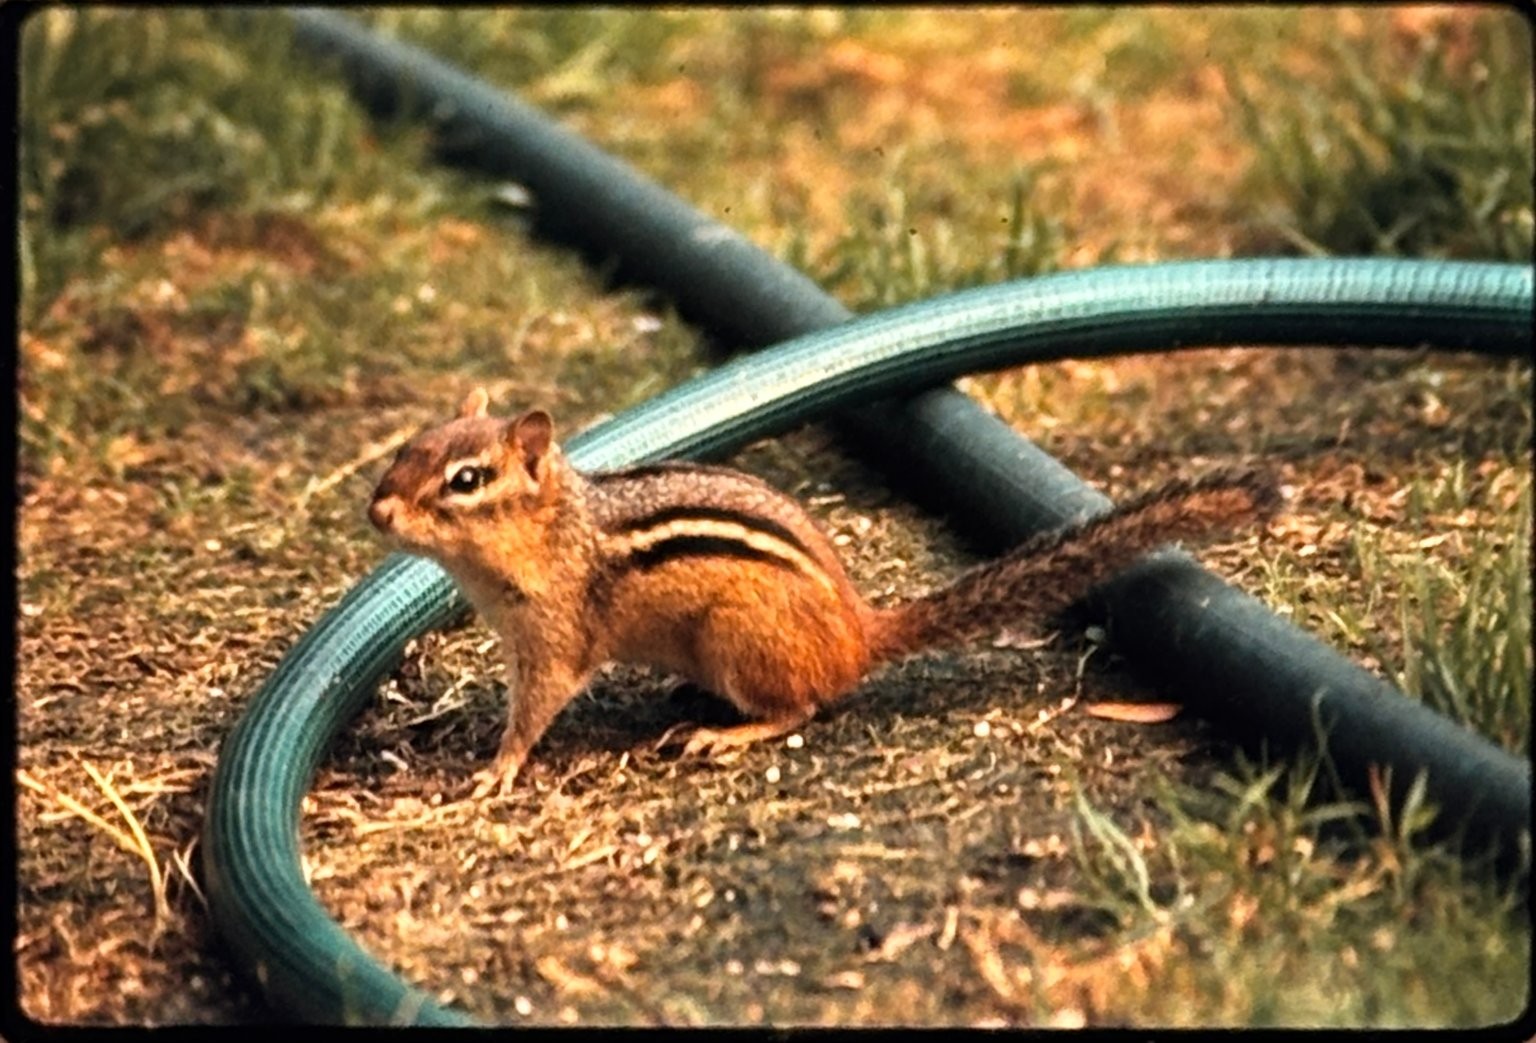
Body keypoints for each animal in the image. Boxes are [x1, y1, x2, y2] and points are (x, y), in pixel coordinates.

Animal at [369, 387, 1282, 797]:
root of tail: (856, 630)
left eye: (465, 479)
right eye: (409, 448)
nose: (376, 509)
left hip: (735, 636)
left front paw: (496, 767)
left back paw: (722, 732)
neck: (555, 527)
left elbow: (535, 708)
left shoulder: (555, 637)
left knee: (801, 706)